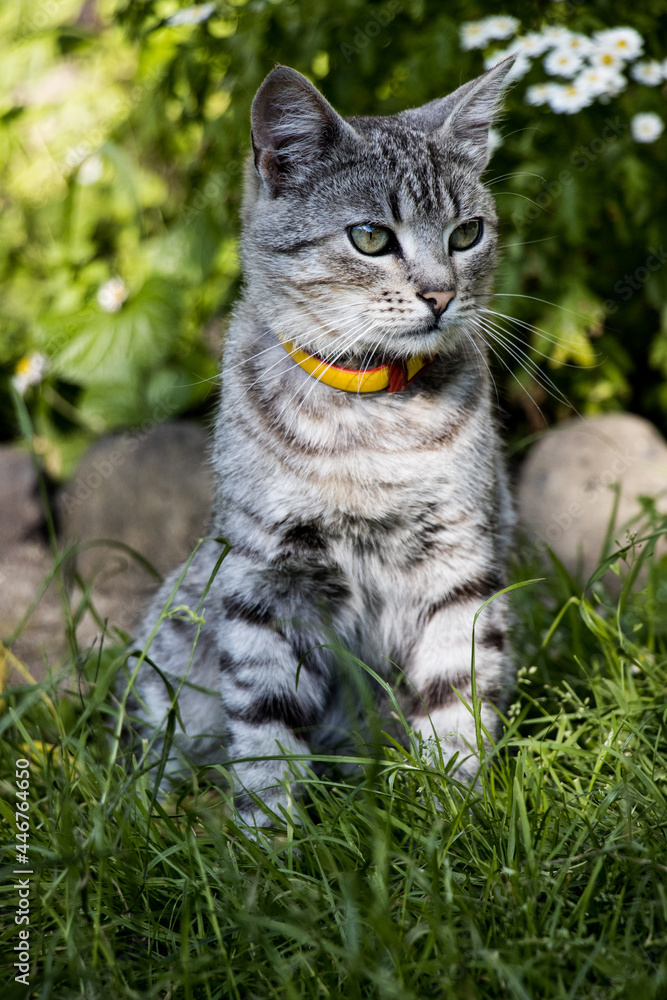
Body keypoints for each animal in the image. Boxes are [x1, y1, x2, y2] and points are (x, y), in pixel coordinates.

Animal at [124, 58, 516, 824]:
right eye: (370, 237)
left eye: (466, 233)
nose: (441, 295)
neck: (369, 422)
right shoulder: (266, 580)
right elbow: (267, 729)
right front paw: (270, 838)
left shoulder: (460, 562)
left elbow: (455, 698)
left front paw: (457, 819)